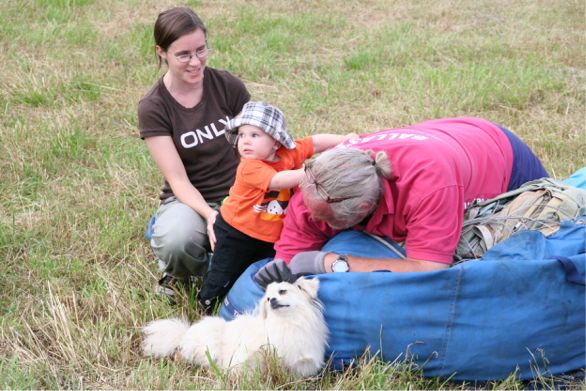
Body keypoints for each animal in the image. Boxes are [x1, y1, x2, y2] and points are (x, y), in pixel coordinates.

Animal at [140, 278, 326, 378]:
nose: (272, 300)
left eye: (282, 291)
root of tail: (185, 334)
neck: (288, 322)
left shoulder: (299, 364)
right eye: (267, 299)